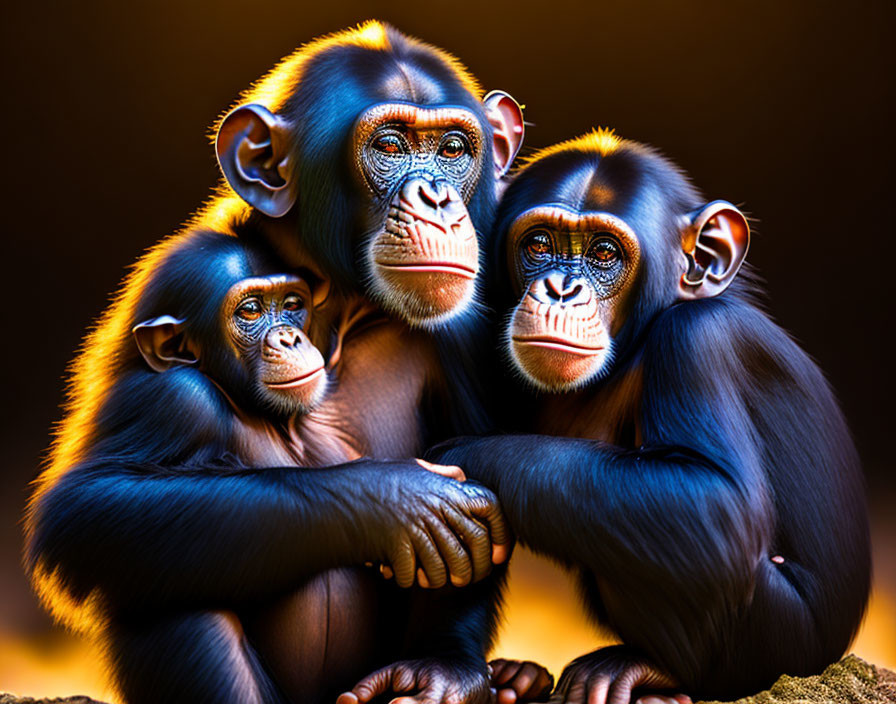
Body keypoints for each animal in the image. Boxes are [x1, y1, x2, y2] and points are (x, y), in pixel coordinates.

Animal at [22, 20, 544, 704]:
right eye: (391, 144)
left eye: (454, 147)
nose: (435, 196)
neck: (338, 309)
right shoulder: (164, 384)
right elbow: (88, 502)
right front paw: (399, 499)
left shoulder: (470, 321)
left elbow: (486, 479)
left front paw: (443, 668)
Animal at [430, 128, 872, 704]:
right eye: (540, 245)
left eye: (603, 252)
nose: (560, 288)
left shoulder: (698, 337)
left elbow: (717, 499)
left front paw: (459, 464)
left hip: (780, 646)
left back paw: (646, 670)